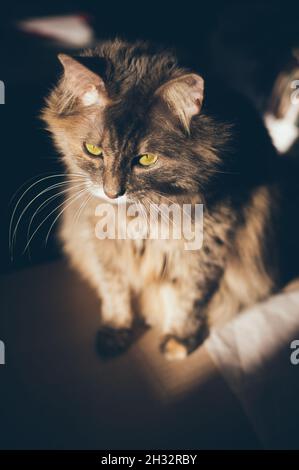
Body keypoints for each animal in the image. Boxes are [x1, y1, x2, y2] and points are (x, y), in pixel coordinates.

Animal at [40, 38, 292, 360]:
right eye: (93, 150)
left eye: (146, 159)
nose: (112, 192)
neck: (135, 213)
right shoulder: (103, 245)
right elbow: (115, 292)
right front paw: (115, 331)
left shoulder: (205, 248)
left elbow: (189, 299)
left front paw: (178, 340)